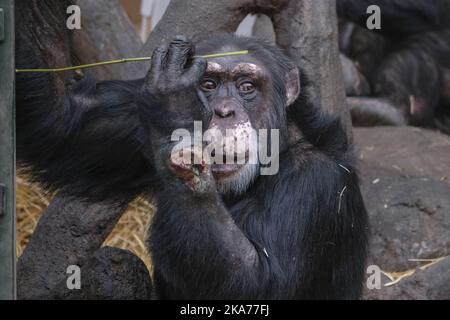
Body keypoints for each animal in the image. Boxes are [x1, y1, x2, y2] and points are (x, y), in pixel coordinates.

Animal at [16, 12, 370, 302]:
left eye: (247, 86)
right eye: (208, 84)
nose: (223, 111)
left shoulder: (315, 183)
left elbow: (257, 280)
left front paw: (175, 103)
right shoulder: (135, 114)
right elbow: (60, 124)